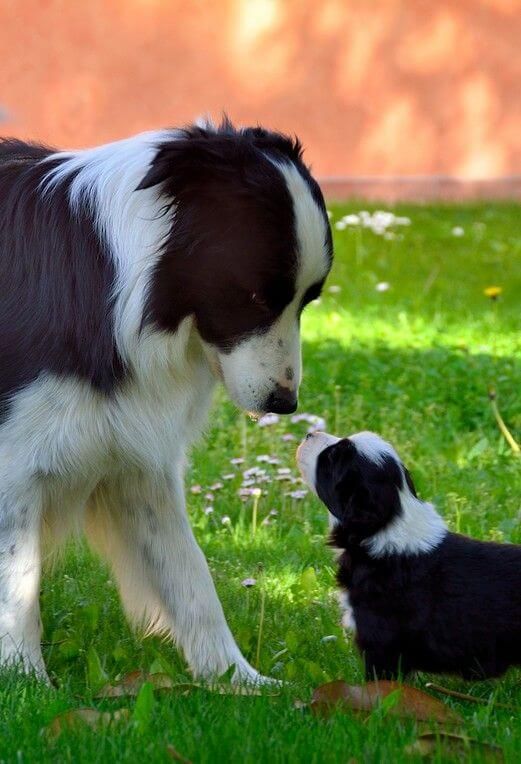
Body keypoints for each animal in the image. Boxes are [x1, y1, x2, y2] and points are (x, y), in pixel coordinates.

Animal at [0, 121, 332, 688]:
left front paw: (238, 680)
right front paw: (27, 682)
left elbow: (189, 574)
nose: (284, 403)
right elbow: (17, 579)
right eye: (257, 298)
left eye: (307, 301)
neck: (115, 290)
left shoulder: (135, 454)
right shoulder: (15, 460)